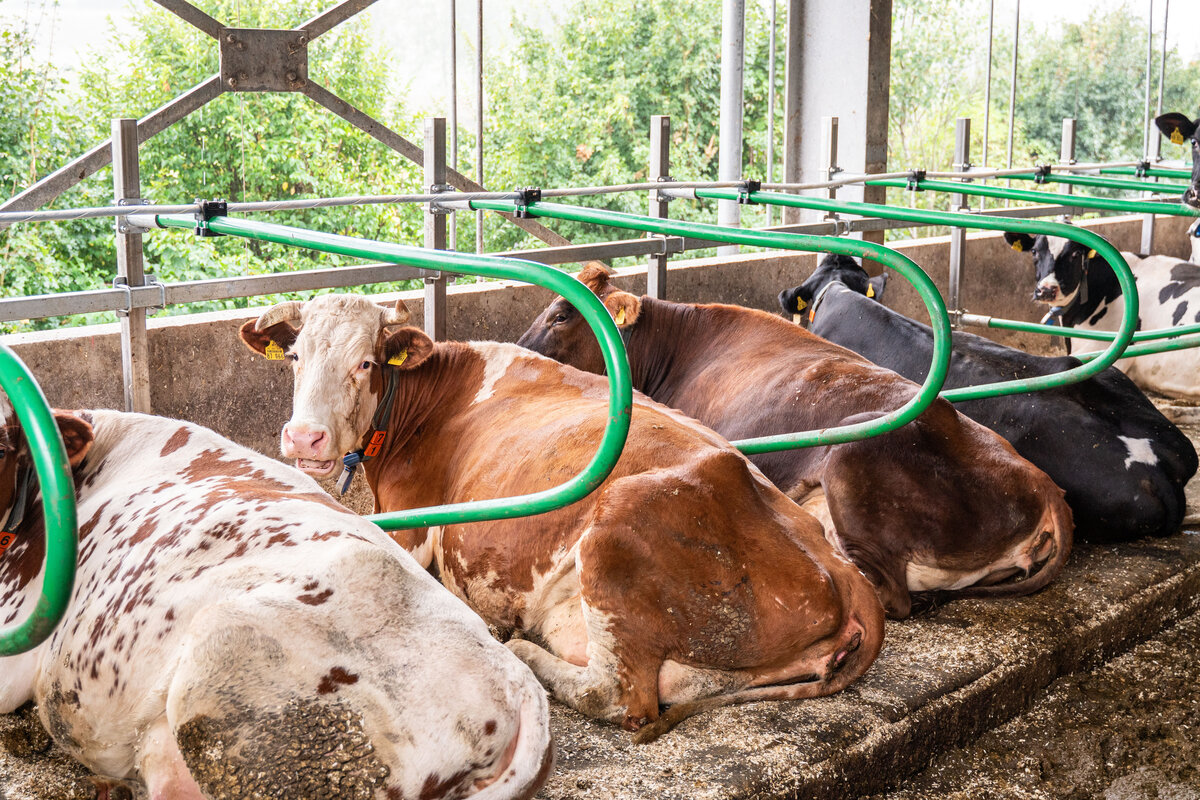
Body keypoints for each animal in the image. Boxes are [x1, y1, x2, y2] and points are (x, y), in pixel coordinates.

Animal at [238, 293, 888, 743]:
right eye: (294, 356)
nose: (304, 437)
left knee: (620, 695)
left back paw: (522, 651)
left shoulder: (413, 524)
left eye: (367, 363)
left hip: (615, 534)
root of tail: (838, 566)